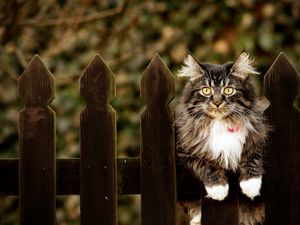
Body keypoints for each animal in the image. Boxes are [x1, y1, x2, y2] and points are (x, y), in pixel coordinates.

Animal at [175, 51, 268, 224]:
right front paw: (218, 189)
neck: (221, 123)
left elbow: (252, 156)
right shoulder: (184, 151)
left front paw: (251, 185)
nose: (217, 102)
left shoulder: (259, 136)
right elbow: (205, 163)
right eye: (206, 91)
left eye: (229, 90)